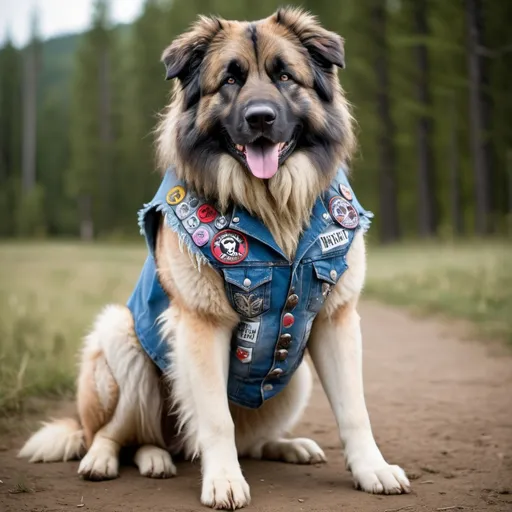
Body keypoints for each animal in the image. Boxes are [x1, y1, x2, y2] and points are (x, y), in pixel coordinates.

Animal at [20, 7, 410, 508]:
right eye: (229, 80)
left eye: (285, 76)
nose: (260, 118)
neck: (271, 204)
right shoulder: (202, 325)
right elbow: (216, 419)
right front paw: (223, 480)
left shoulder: (334, 319)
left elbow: (355, 411)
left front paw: (371, 469)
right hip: (123, 340)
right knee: (117, 433)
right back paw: (121, 459)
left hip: (295, 377)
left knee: (247, 439)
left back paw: (285, 446)